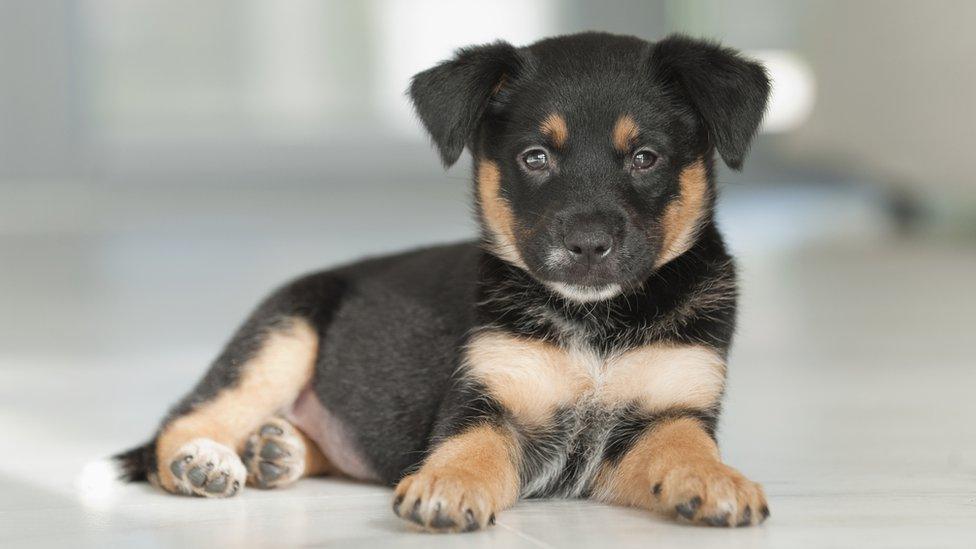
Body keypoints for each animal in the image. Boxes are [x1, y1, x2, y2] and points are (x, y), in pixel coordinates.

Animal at [114, 31, 772, 532]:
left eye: (646, 157)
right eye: (535, 158)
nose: (587, 246)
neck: (594, 322)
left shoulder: (669, 413)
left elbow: (686, 448)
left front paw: (718, 481)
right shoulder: (483, 398)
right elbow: (471, 448)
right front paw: (447, 486)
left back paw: (275, 449)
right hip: (282, 334)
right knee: (185, 418)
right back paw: (204, 461)